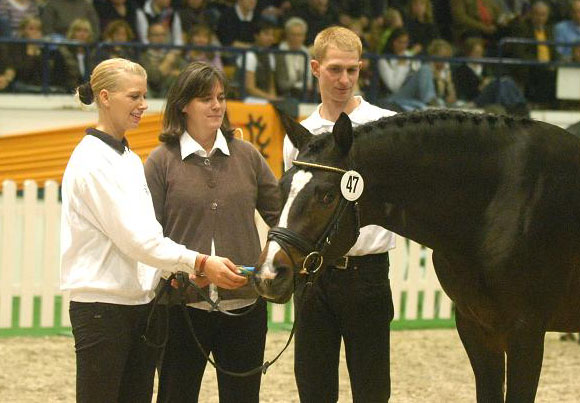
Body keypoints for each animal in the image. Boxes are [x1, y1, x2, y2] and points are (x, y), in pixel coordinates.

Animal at [255, 110, 580, 403]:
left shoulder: (526, 333)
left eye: (327, 196)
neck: (502, 197)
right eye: (281, 188)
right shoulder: (476, 328)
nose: (269, 274)